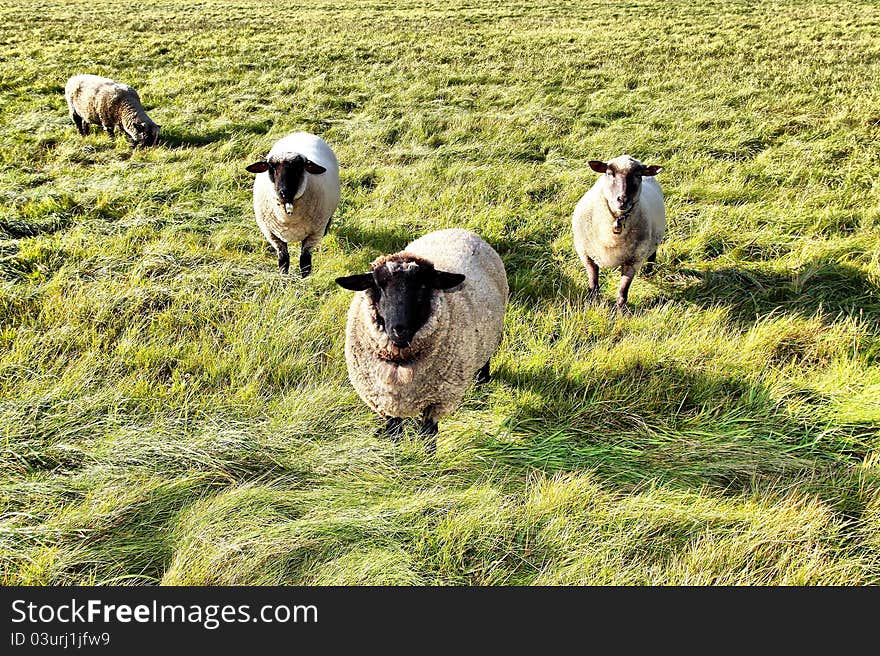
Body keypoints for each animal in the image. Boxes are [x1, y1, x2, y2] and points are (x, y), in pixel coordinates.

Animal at [249, 133, 346, 276]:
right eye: (271, 168)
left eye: (299, 168)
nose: (284, 192)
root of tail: (302, 133)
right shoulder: (271, 234)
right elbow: (283, 259)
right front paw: (283, 276)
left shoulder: (314, 234)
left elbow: (304, 261)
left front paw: (305, 278)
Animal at [334, 229, 506, 452]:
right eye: (378, 285)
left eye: (424, 286)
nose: (399, 329)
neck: (400, 362)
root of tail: (461, 230)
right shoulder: (385, 400)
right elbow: (394, 431)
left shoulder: (437, 401)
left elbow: (427, 436)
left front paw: (427, 459)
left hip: (489, 337)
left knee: (485, 362)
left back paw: (482, 385)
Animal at [576, 154, 664, 310]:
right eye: (609, 173)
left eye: (638, 175)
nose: (622, 200)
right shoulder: (587, 256)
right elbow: (593, 285)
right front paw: (592, 303)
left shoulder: (633, 261)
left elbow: (622, 293)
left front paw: (619, 311)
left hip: (653, 241)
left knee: (652, 254)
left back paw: (649, 272)